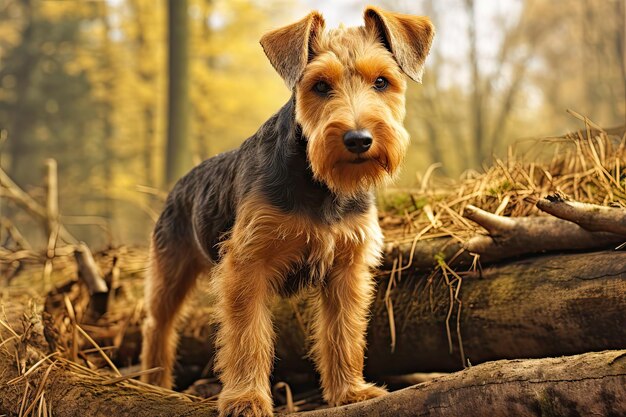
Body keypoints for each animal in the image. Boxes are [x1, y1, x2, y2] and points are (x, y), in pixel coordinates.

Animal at [141, 7, 434, 416]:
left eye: (381, 81)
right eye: (320, 86)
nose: (358, 140)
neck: (321, 185)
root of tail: (181, 182)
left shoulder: (347, 268)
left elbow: (343, 335)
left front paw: (351, 390)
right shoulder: (247, 266)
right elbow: (248, 338)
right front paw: (246, 398)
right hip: (170, 270)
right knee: (157, 324)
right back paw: (153, 382)